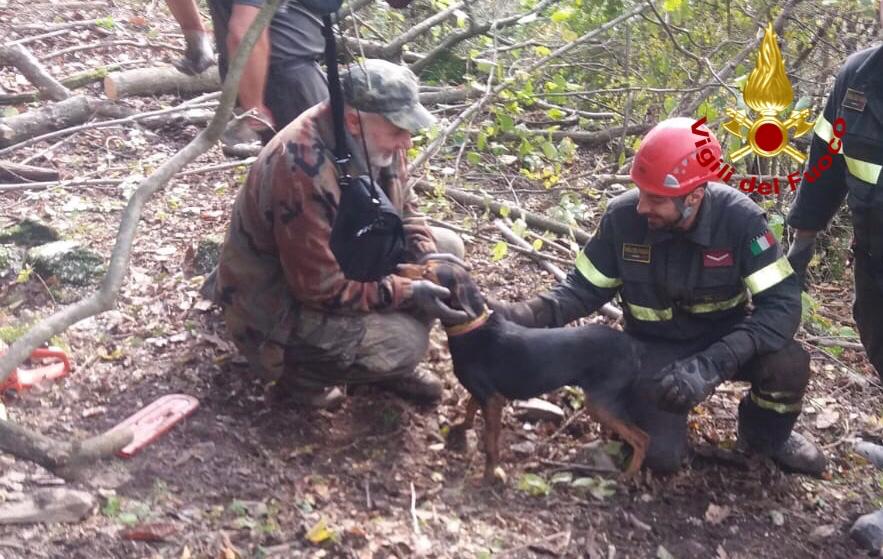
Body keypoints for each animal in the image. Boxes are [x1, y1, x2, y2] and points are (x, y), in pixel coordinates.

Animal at [400, 262, 648, 482]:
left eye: (427, 272)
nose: (399, 268)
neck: (471, 329)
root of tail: (633, 347)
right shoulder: (481, 392)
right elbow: (470, 409)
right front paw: (461, 427)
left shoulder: (493, 400)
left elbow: (490, 442)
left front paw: (489, 474)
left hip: (599, 403)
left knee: (642, 438)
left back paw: (628, 475)